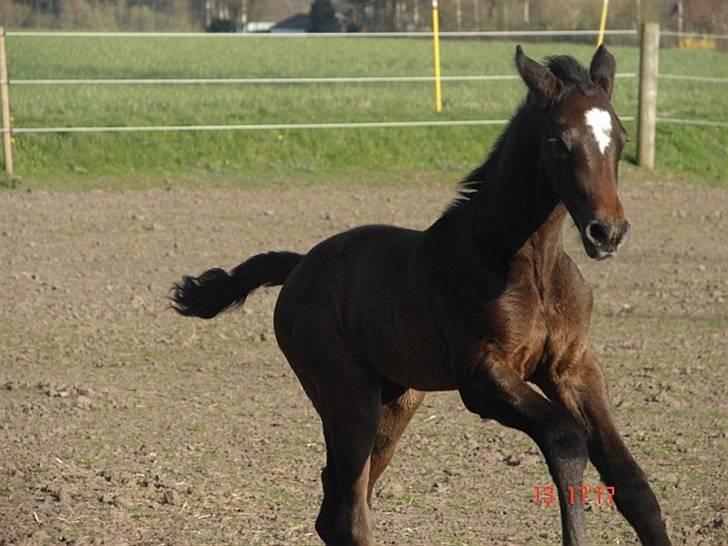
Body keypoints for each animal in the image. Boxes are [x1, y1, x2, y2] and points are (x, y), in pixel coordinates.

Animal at [172, 44, 672, 540]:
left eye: (621, 137)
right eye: (558, 141)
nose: (607, 232)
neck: (528, 266)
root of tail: (300, 265)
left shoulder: (572, 369)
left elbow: (633, 486)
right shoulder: (482, 378)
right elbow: (566, 441)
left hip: (397, 402)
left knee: (336, 508)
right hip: (348, 398)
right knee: (349, 513)